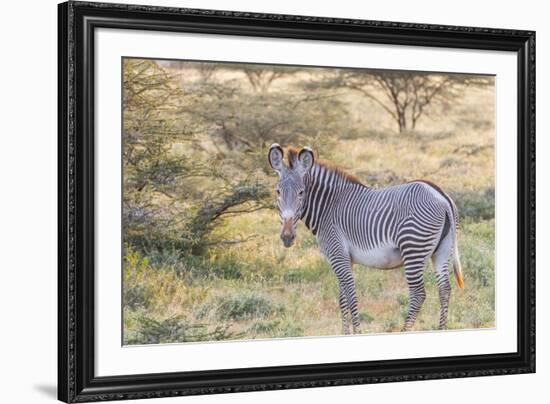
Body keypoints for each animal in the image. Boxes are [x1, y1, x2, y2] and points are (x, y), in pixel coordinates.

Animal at [268, 144, 466, 332]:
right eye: (278, 192)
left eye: (301, 192)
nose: (287, 237)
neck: (328, 207)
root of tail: (441, 197)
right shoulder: (345, 259)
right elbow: (343, 299)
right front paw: (346, 333)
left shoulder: (337, 255)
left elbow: (351, 296)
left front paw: (357, 332)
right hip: (442, 251)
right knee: (444, 289)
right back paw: (441, 329)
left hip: (413, 249)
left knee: (418, 294)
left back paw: (404, 330)